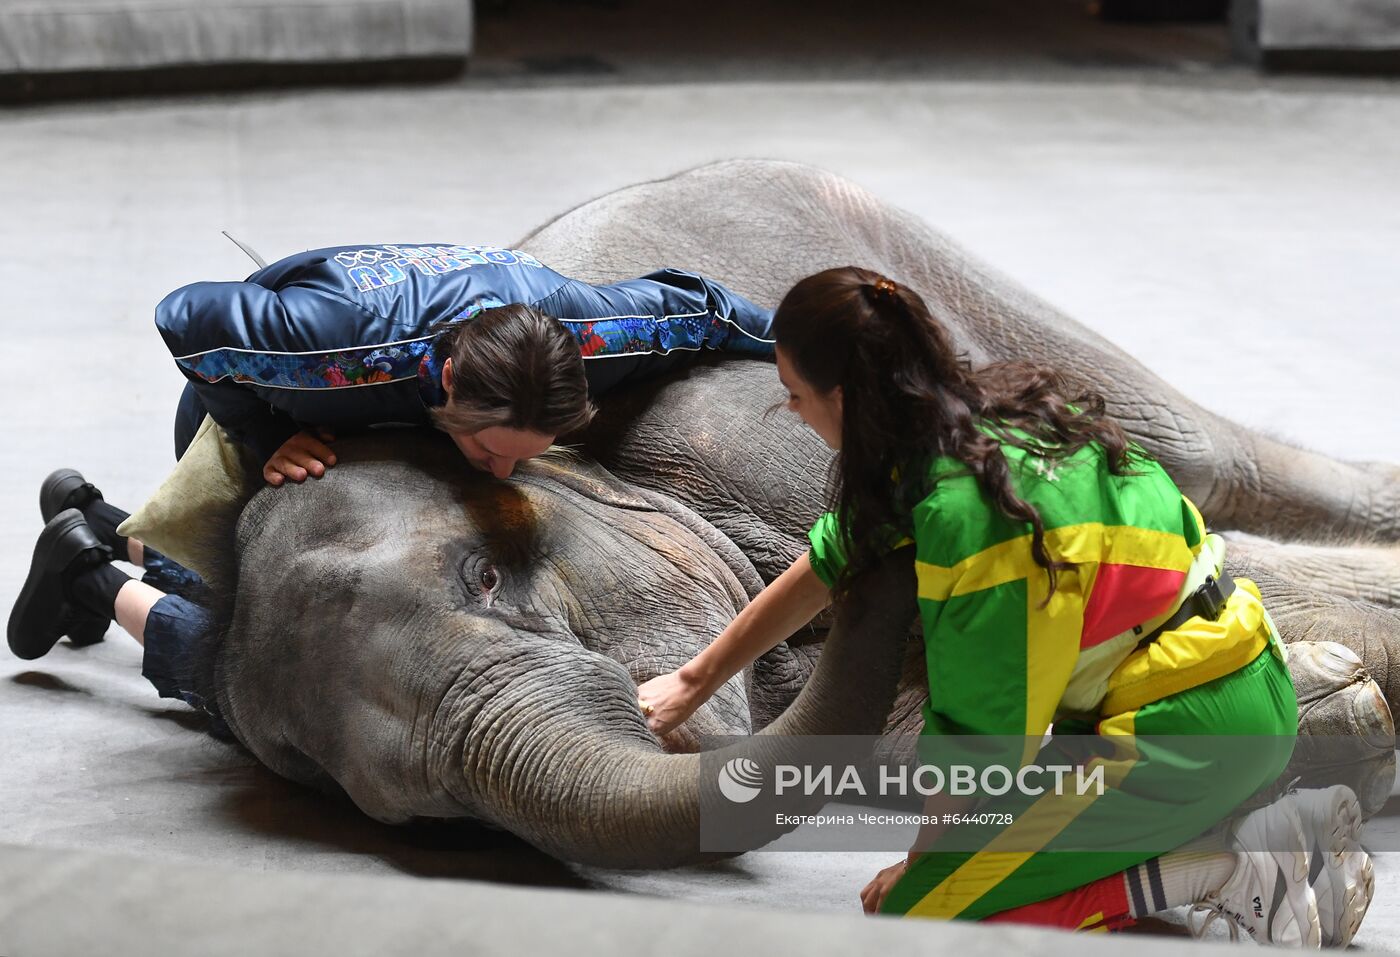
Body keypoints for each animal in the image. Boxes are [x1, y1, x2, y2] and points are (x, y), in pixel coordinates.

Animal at [189, 162, 1400, 867]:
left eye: (484, 578)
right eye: (417, 815)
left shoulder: (740, 434)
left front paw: (1337, 682)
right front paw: (1339, 709)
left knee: (1215, 458)